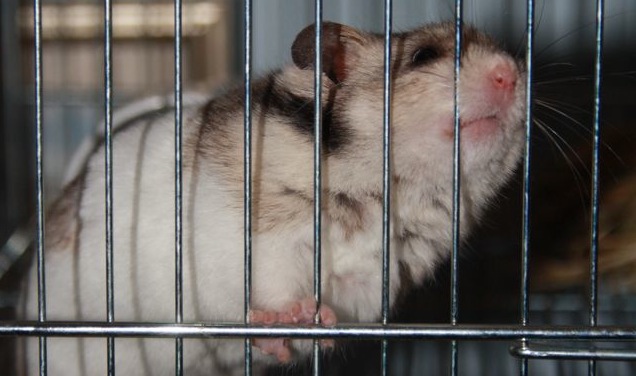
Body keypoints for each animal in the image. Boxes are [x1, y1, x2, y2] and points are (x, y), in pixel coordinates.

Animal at [19, 21, 528, 376]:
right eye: (424, 55)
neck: (388, 190)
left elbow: (338, 306)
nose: (510, 74)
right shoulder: (256, 241)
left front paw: (318, 322)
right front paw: (293, 315)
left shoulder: (373, 282)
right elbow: (270, 281)